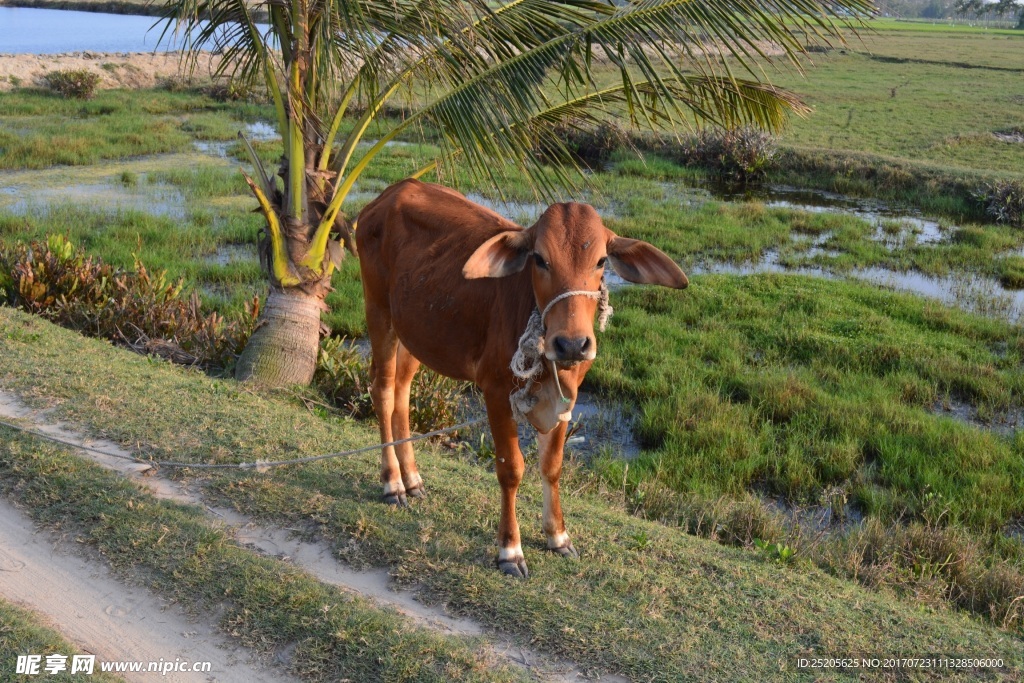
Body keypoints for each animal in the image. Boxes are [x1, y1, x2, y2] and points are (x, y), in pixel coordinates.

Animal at [356, 180, 684, 577]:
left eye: (601, 261)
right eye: (539, 259)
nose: (572, 344)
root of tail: (390, 193)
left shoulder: (566, 398)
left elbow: (551, 466)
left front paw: (558, 536)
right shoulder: (496, 392)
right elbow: (511, 468)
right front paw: (510, 550)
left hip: (415, 333)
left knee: (402, 393)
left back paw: (413, 479)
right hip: (379, 312)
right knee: (383, 391)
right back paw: (392, 483)